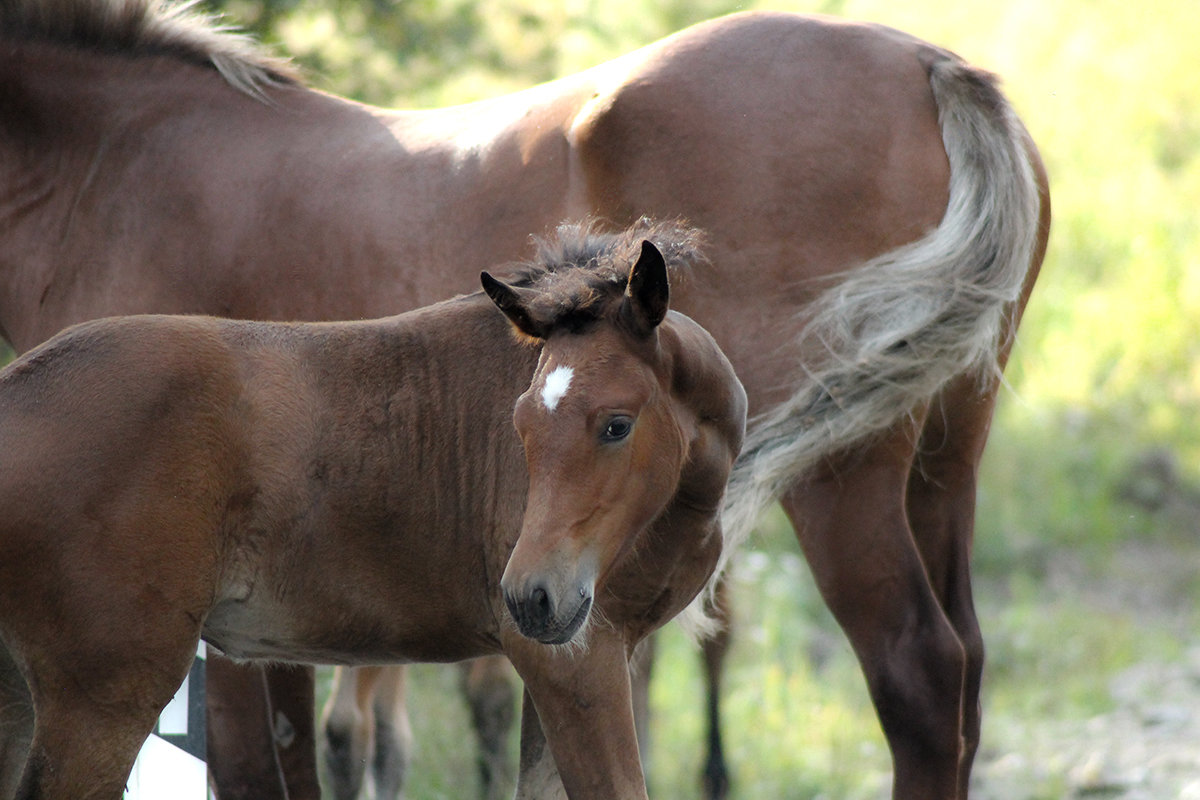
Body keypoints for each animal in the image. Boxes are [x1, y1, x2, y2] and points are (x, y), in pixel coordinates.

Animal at [0, 225, 748, 800]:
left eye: (617, 425)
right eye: (521, 426)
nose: (529, 597)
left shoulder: (584, 658)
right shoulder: (574, 662)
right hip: (105, 697)